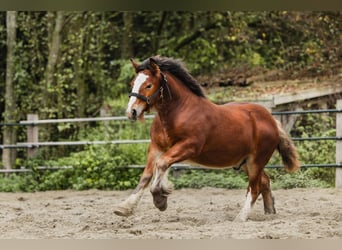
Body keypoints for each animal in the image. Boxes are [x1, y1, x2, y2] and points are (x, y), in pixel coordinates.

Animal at [113, 55, 300, 221]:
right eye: (133, 84)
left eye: (149, 85)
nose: (131, 112)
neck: (178, 112)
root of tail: (271, 120)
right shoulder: (156, 147)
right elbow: (147, 175)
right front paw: (125, 207)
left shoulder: (189, 147)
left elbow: (162, 164)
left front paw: (160, 198)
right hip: (244, 162)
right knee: (265, 181)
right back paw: (269, 212)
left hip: (256, 161)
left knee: (254, 188)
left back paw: (241, 218)